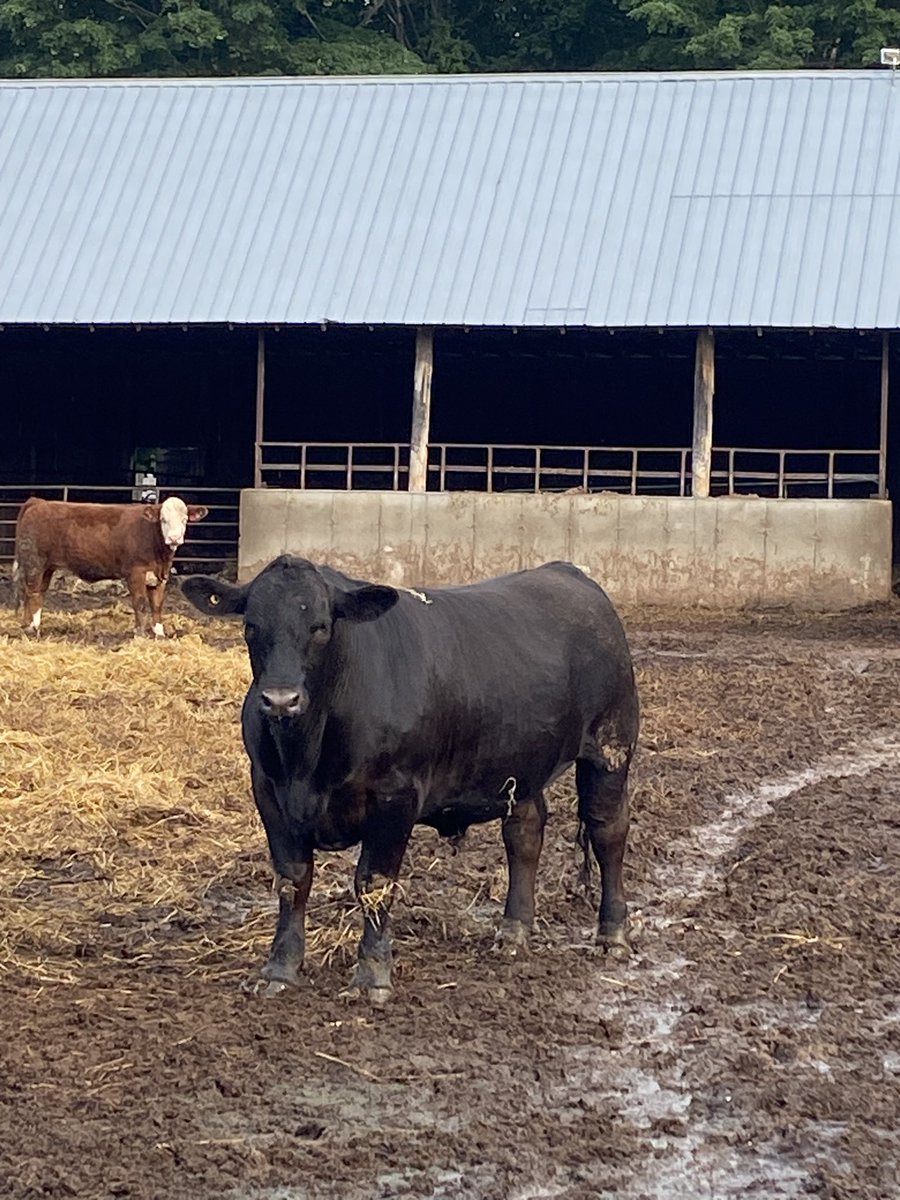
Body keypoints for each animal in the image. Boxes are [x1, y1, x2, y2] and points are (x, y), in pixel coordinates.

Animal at [13, 496, 209, 637]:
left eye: (184, 519)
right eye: (163, 520)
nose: (174, 538)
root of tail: (38, 502)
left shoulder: (159, 576)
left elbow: (157, 605)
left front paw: (159, 633)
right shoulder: (136, 573)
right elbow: (140, 603)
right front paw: (140, 633)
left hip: (47, 567)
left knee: (38, 592)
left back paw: (33, 625)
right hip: (35, 563)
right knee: (31, 592)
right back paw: (32, 628)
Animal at [183, 554, 639, 1004]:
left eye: (321, 627)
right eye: (250, 626)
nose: (280, 700)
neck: (306, 760)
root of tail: (566, 571)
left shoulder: (395, 795)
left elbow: (374, 881)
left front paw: (372, 976)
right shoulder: (268, 792)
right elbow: (292, 879)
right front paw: (280, 969)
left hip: (610, 746)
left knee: (608, 832)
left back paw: (613, 934)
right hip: (521, 764)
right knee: (524, 834)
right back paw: (513, 932)